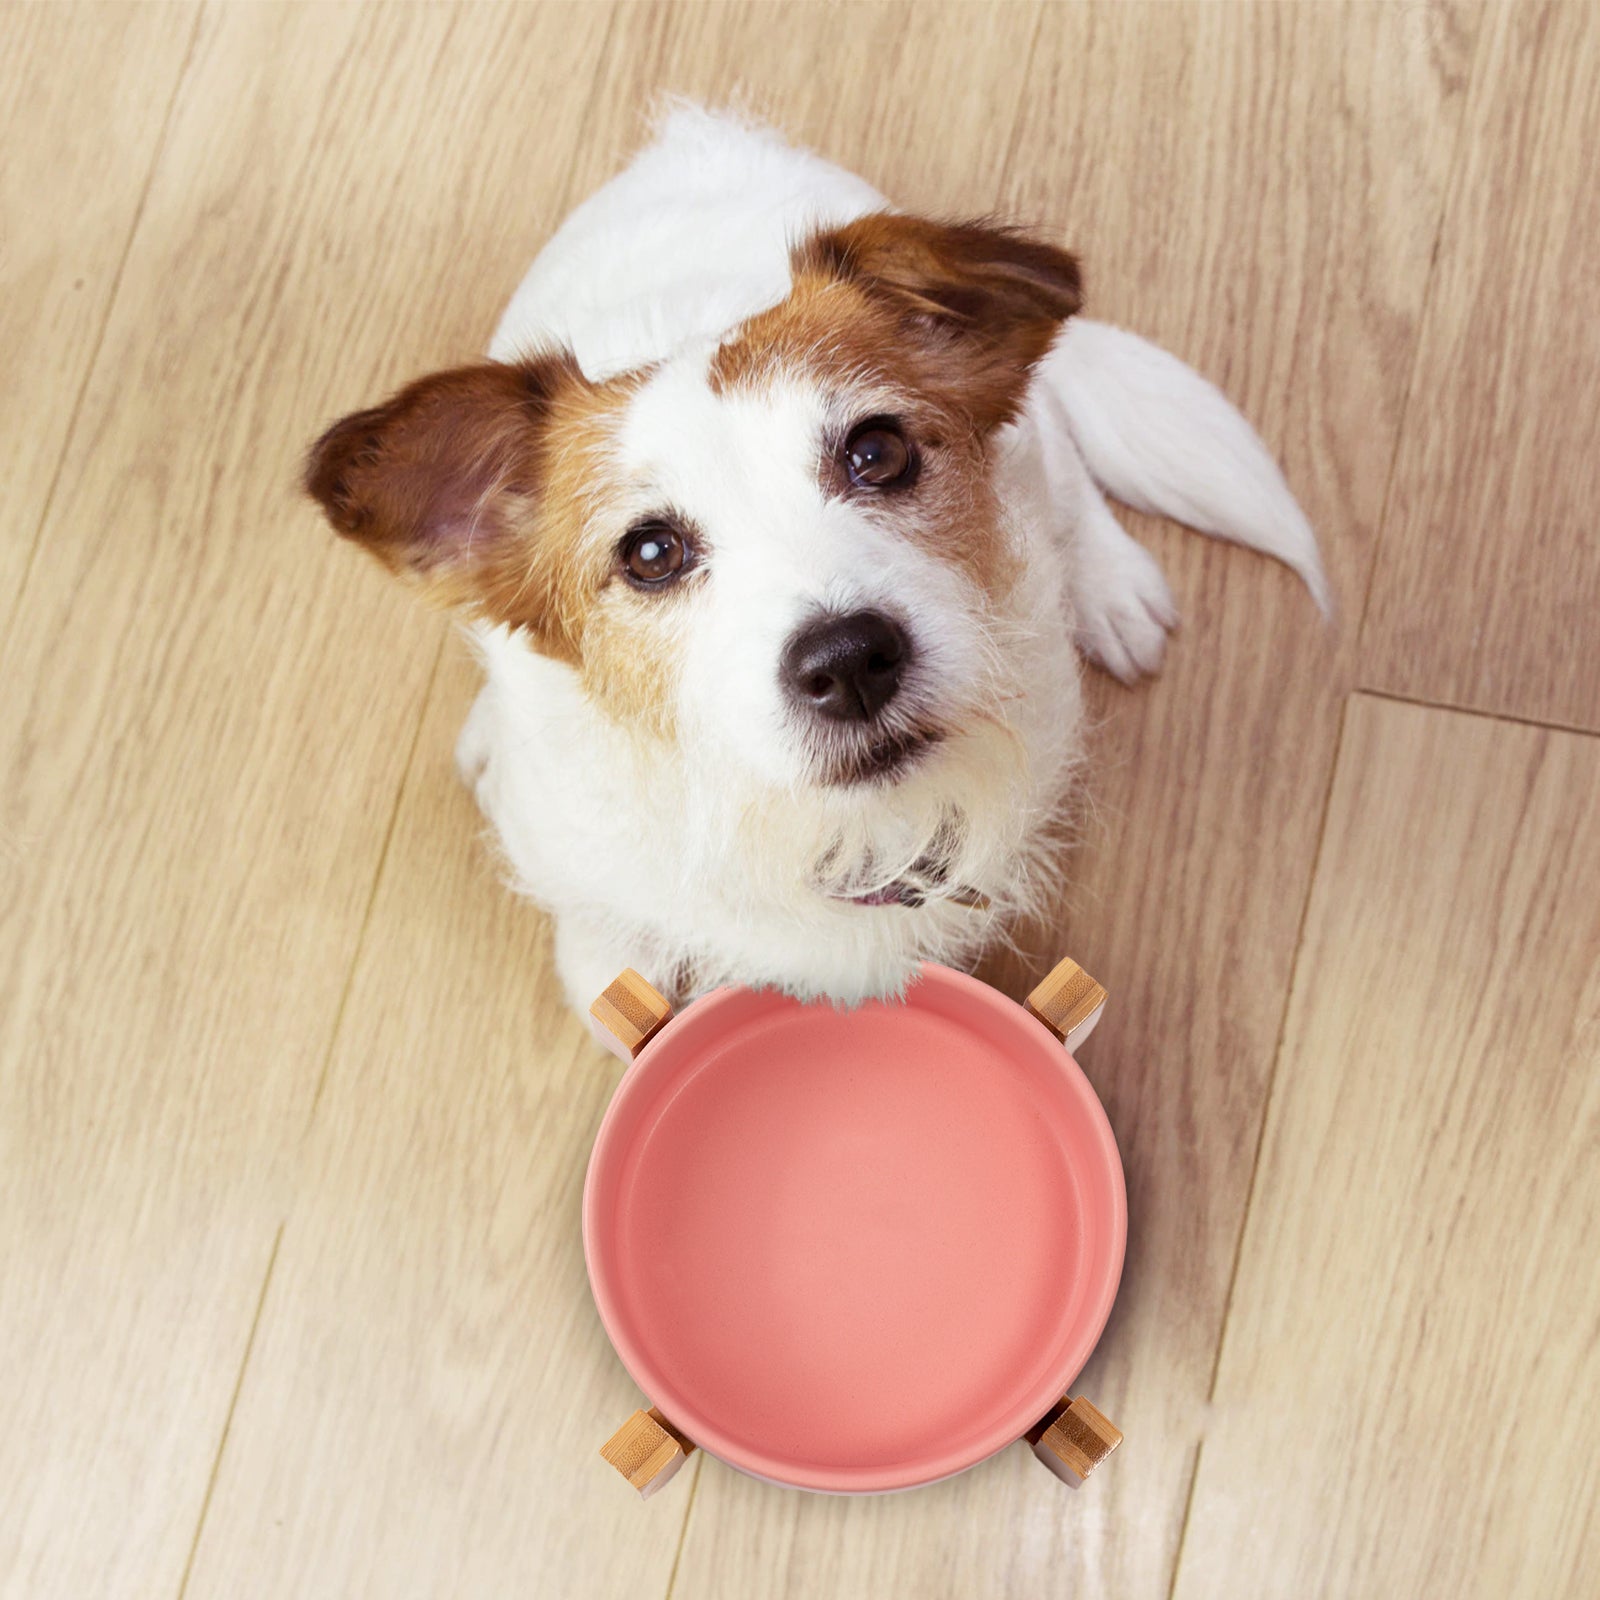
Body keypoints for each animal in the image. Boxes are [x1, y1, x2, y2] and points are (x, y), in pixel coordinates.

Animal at [302, 106, 1324, 1017]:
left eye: (878, 451)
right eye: (650, 553)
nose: (849, 660)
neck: (817, 831)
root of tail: (697, 134)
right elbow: (608, 966)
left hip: (1032, 437)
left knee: (1064, 450)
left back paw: (1111, 590)